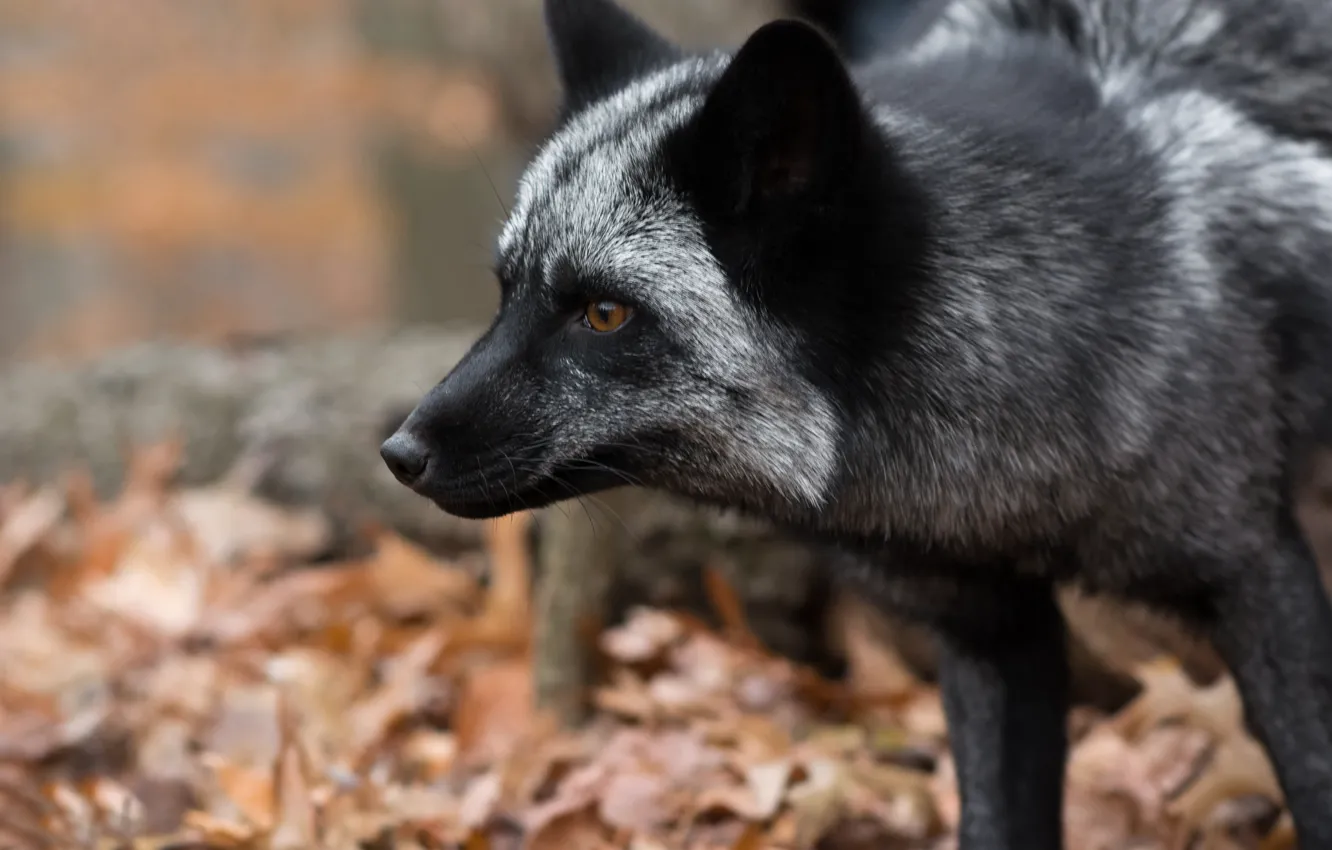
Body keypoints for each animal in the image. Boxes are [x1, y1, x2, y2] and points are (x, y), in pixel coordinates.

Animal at [380, 0, 1332, 846]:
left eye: (604, 315)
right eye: (506, 292)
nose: (399, 453)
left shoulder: (1254, 571)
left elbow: (1313, 780)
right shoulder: (993, 633)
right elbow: (1000, 822)